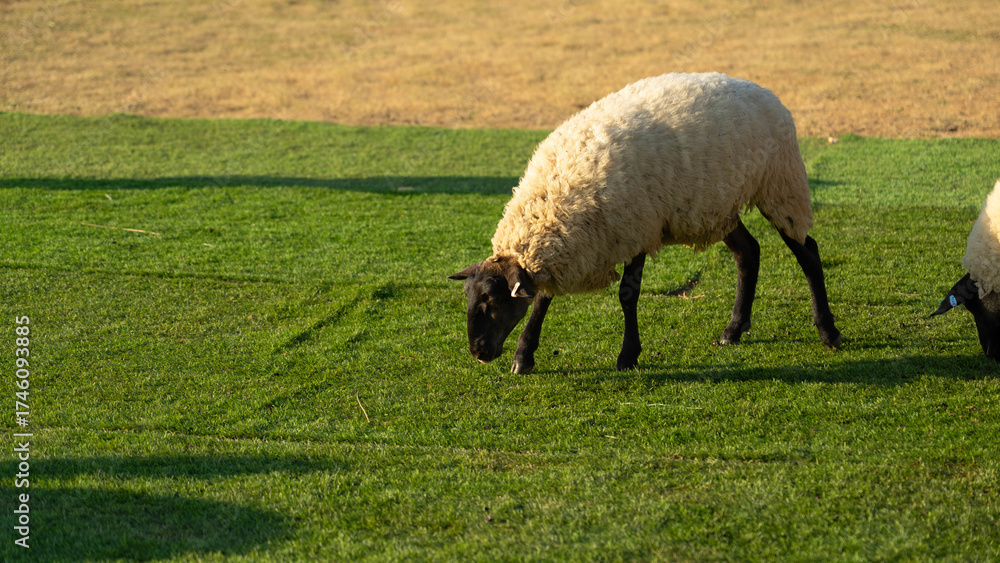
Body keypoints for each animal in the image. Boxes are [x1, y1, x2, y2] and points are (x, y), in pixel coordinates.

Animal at [449, 72, 842, 373]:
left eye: (491, 301)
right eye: (469, 298)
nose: (478, 352)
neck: (555, 199)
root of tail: (763, 90)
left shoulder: (637, 229)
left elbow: (627, 294)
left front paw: (628, 356)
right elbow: (542, 299)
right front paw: (524, 356)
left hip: (780, 184)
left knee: (807, 252)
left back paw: (829, 333)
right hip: (719, 206)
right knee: (748, 253)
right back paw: (733, 329)